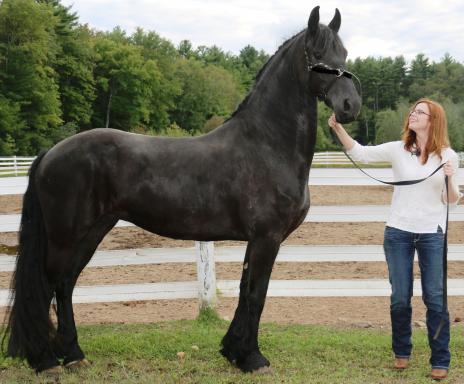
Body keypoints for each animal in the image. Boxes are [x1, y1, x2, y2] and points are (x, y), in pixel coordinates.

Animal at [1, 6, 360, 372]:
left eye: (343, 53)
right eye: (317, 55)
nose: (350, 105)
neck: (266, 144)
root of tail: (50, 153)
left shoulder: (257, 240)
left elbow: (244, 290)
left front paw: (233, 350)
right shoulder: (266, 238)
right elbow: (256, 295)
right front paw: (253, 358)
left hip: (93, 230)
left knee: (65, 284)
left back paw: (73, 353)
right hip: (66, 235)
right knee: (47, 286)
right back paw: (46, 359)